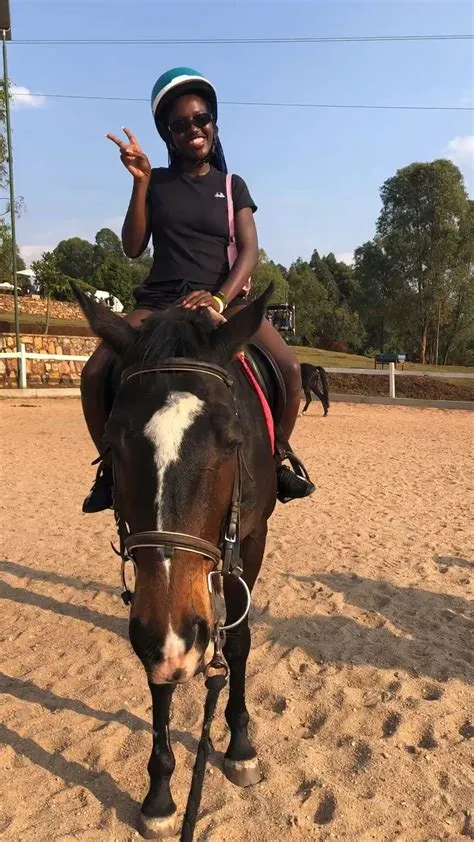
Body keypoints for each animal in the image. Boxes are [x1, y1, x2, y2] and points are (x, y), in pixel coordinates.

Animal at [73, 283, 278, 839]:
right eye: (112, 443)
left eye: (232, 441)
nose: (177, 637)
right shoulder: (155, 605)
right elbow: (157, 672)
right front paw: (161, 794)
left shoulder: (252, 540)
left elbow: (241, 638)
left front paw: (241, 746)